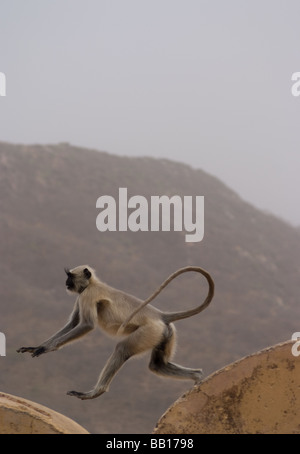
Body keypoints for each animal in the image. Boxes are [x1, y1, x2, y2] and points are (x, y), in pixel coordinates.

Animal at [17, 264, 214, 400]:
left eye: (70, 277)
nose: (66, 283)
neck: (93, 283)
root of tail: (160, 315)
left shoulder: (88, 294)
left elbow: (86, 325)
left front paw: (44, 349)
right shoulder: (82, 296)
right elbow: (72, 323)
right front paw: (37, 347)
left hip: (149, 331)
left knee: (122, 349)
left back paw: (95, 392)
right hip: (164, 334)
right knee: (157, 365)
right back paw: (197, 376)